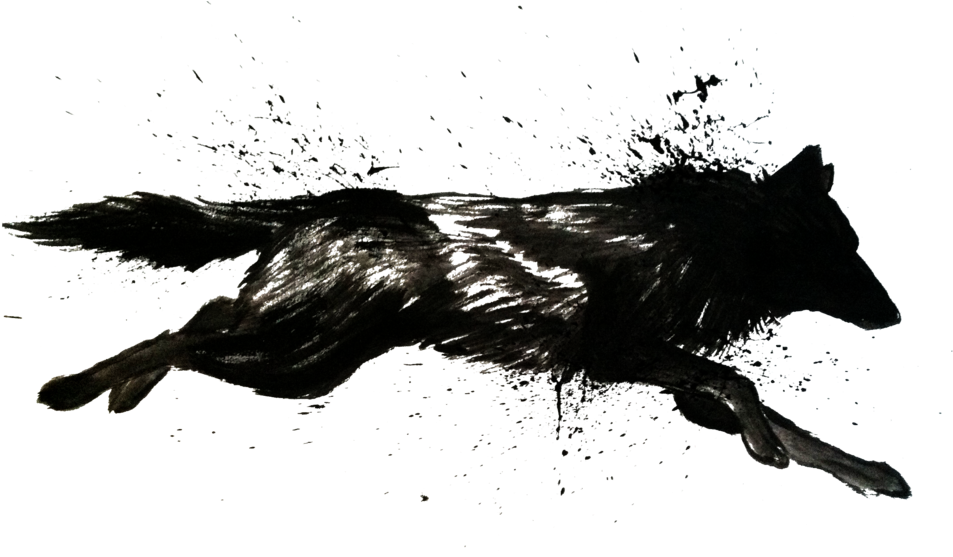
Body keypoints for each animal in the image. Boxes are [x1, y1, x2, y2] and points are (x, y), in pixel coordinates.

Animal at [4, 144, 910, 499]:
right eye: (841, 254)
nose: (897, 313)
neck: (692, 241)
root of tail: (327, 204)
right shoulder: (621, 350)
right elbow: (741, 384)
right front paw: (769, 447)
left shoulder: (663, 372)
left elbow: (783, 419)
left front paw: (867, 473)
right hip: (296, 351)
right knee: (190, 330)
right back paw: (77, 384)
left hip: (304, 356)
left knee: (206, 314)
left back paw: (116, 388)